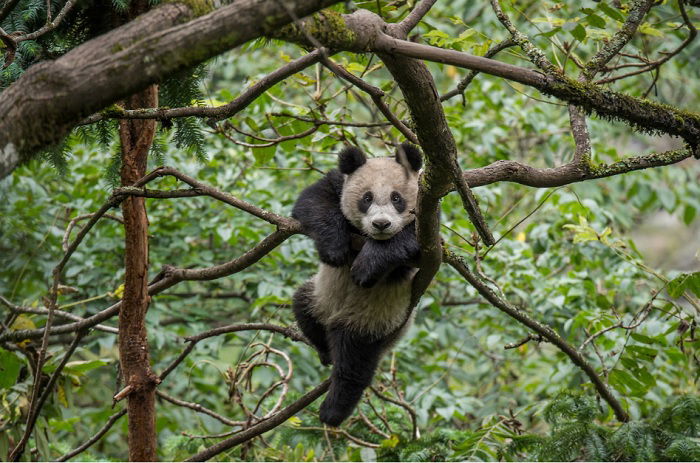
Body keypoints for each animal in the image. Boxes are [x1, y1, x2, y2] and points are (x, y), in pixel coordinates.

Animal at [290, 142, 422, 428]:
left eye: (397, 198)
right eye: (367, 198)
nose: (381, 224)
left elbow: (408, 240)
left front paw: (366, 267)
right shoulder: (339, 184)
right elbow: (313, 200)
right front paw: (334, 249)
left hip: (372, 317)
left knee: (354, 361)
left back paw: (333, 410)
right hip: (320, 295)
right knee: (303, 306)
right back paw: (325, 350)